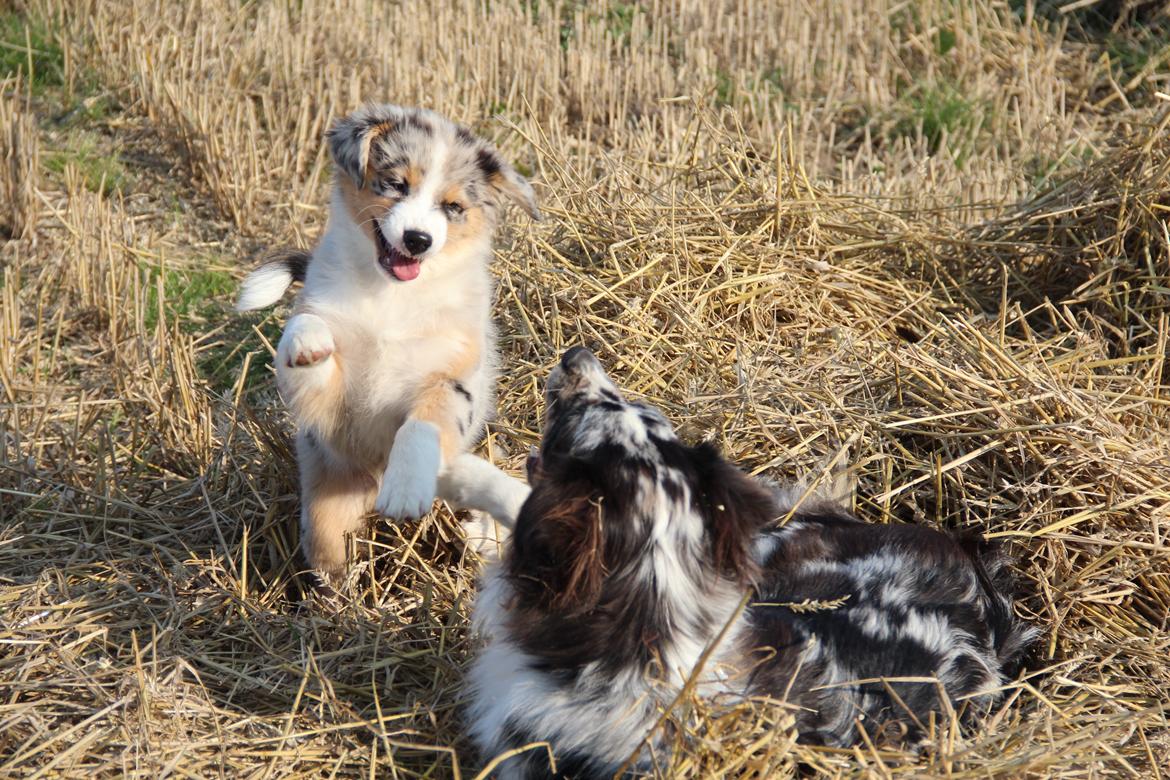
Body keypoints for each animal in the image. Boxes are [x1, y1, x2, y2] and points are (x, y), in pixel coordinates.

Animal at [237, 103, 538, 582]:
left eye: (452, 207)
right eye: (396, 184)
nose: (418, 240)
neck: (392, 297)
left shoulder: (451, 375)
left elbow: (420, 426)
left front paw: (405, 487)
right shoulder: (331, 400)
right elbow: (306, 326)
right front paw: (307, 342)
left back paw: (482, 535)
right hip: (326, 509)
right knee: (331, 555)